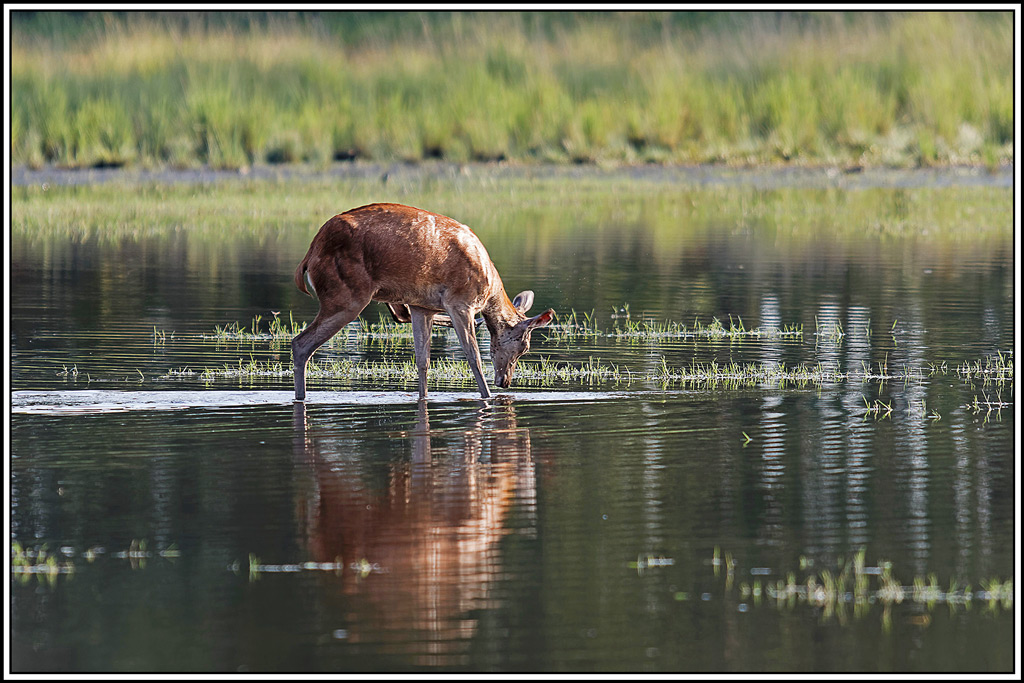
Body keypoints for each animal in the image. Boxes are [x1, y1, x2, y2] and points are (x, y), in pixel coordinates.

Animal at [292, 203, 555, 401]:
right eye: (524, 347)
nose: (505, 382)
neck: (490, 290)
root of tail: (308, 257)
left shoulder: (422, 307)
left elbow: (422, 361)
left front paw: (424, 398)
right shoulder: (460, 302)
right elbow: (474, 356)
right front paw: (487, 397)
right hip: (347, 296)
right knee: (300, 343)